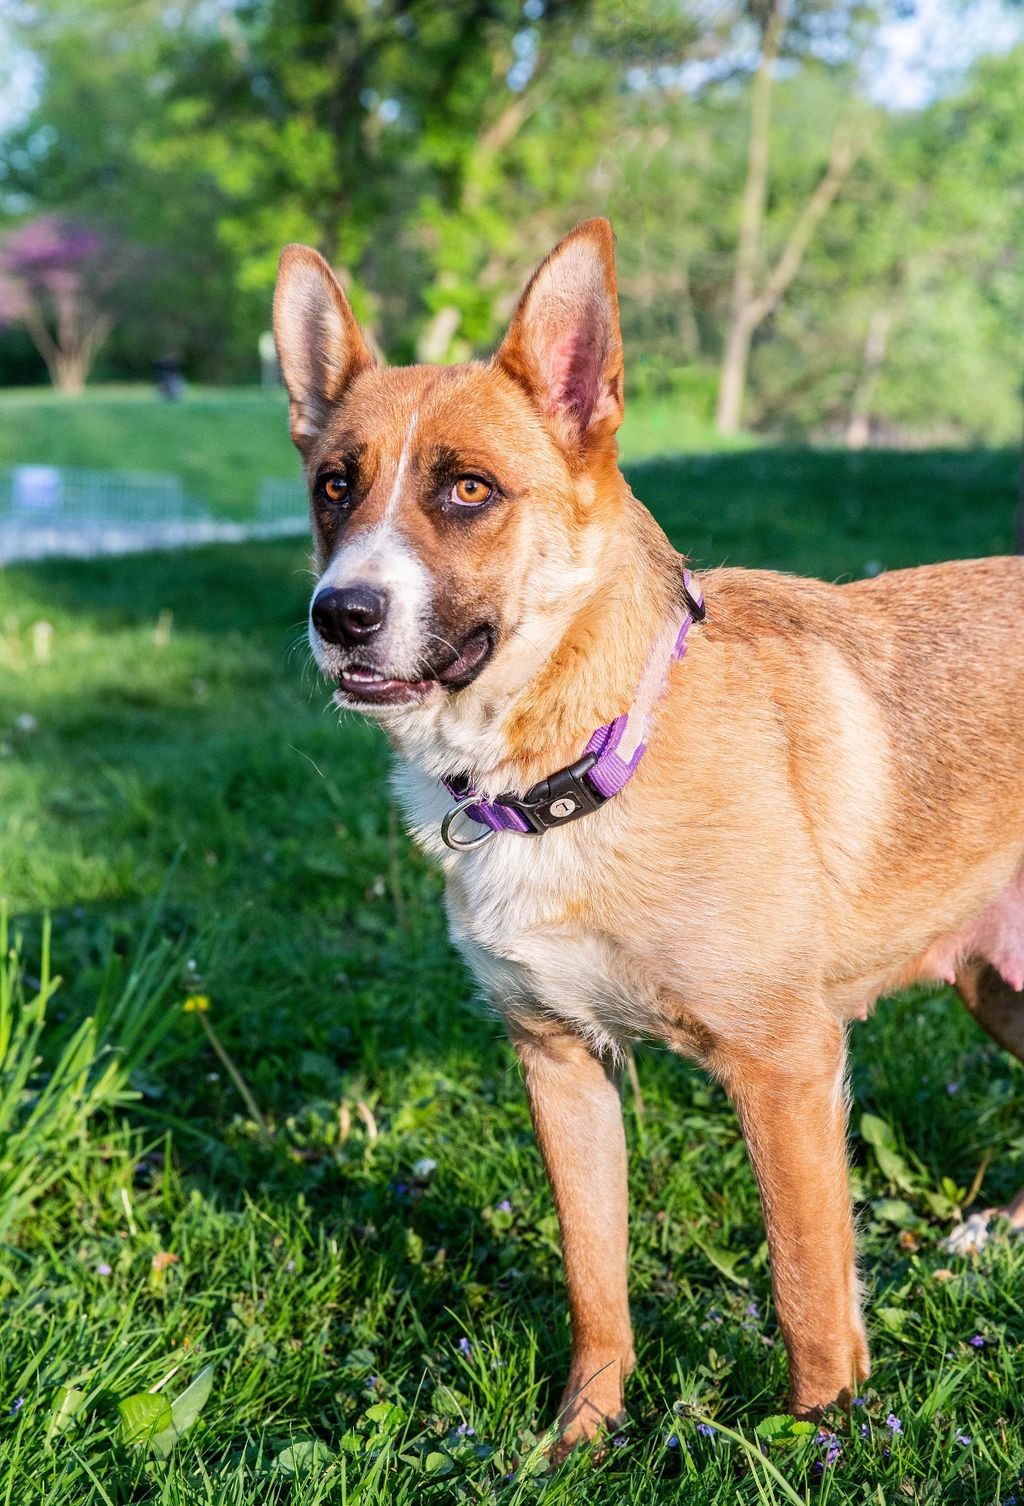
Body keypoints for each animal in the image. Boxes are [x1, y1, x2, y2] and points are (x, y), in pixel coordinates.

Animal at [272, 219, 1024, 1445]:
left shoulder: (785, 1071)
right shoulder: (559, 1064)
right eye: (335, 487)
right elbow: (594, 1281)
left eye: (469, 489)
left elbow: (808, 1293)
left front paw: (826, 1442)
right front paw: (577, 1443)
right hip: (997, 986)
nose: (339, 616)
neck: (581, 764)